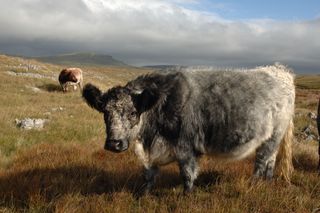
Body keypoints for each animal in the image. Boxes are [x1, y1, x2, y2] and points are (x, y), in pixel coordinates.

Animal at [82, 63, 296, 195]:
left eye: (133, 112)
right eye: (105, 112)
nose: (114, 143)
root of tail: (279, 71)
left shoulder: (185, 147)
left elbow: (187, 174)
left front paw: (187, 196)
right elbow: (148, 175)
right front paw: (144, 195)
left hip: (273, 135)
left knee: (262, 161)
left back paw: (254, 185)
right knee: (270, 161)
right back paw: (267, 183)